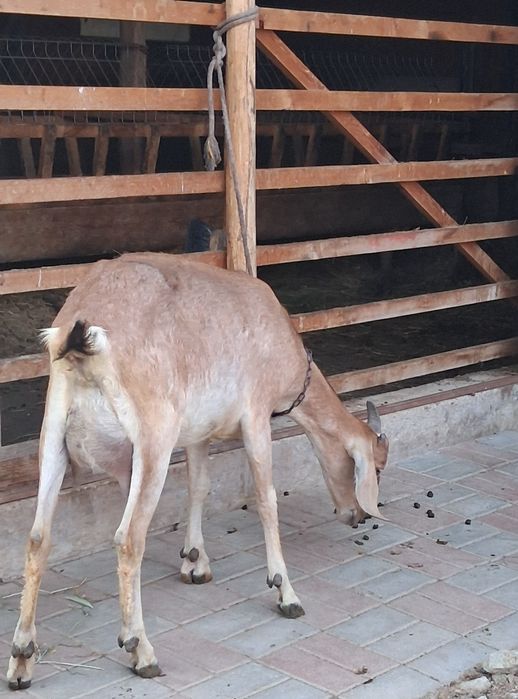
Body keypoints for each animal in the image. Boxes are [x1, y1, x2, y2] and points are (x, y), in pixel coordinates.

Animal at [7, 253, 388, 689]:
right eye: (376, 467)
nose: (358, 516)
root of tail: (83, 339)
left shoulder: (198, 432)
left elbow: (199, 486)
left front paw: (194, 562)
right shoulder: (256, 416)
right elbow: (266, 498)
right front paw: (285, 591)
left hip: (53, 436)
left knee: (38, 538)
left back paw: (21, 657)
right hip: (153, 439)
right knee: (128, 538)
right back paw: (140, 649)